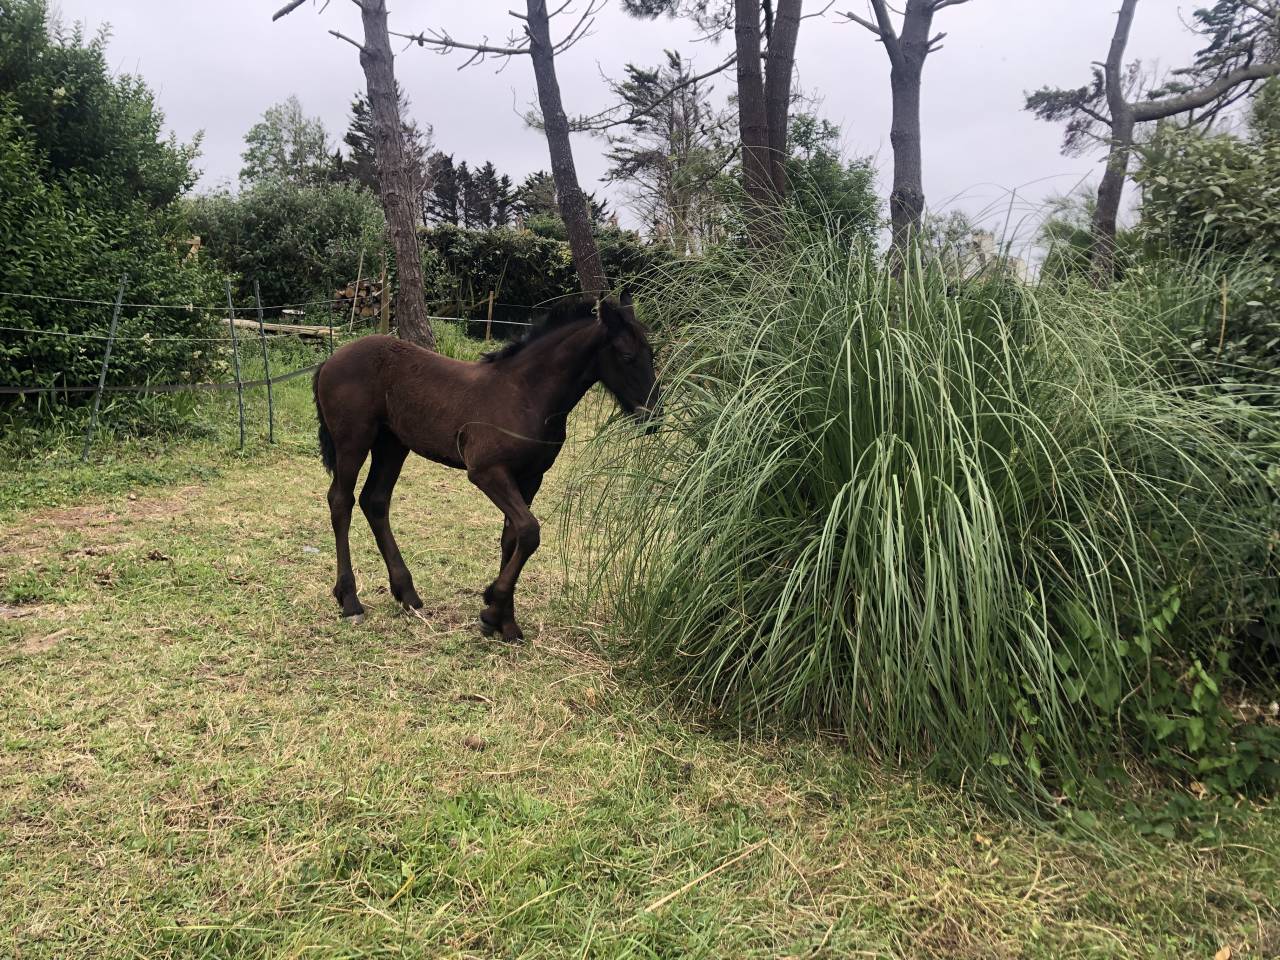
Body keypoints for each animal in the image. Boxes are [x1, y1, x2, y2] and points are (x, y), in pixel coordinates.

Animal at [311, 290, 661, 642]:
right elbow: (529, 531)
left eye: (652, 354)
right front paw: (492, 608)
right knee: (341, 501)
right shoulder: (487, 472)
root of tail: (330, 360)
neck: (525, 393)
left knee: (375, 501)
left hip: (392, 444)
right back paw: (351, 601)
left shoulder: (530, 478)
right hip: (353, 441)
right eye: (627, 356)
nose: (653, 418)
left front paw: (504, 622)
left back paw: (408, 594)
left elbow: (513, 537)